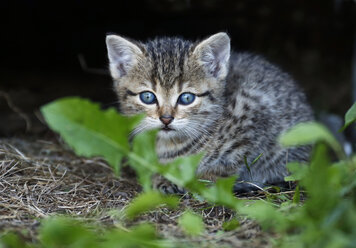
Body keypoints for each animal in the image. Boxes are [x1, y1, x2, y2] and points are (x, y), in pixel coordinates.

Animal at [105, 32, 314, 193]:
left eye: (186, 98)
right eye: (147, 97)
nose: (166, 119)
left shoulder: (253, 112)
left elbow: (229, 167)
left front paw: (191, 179)